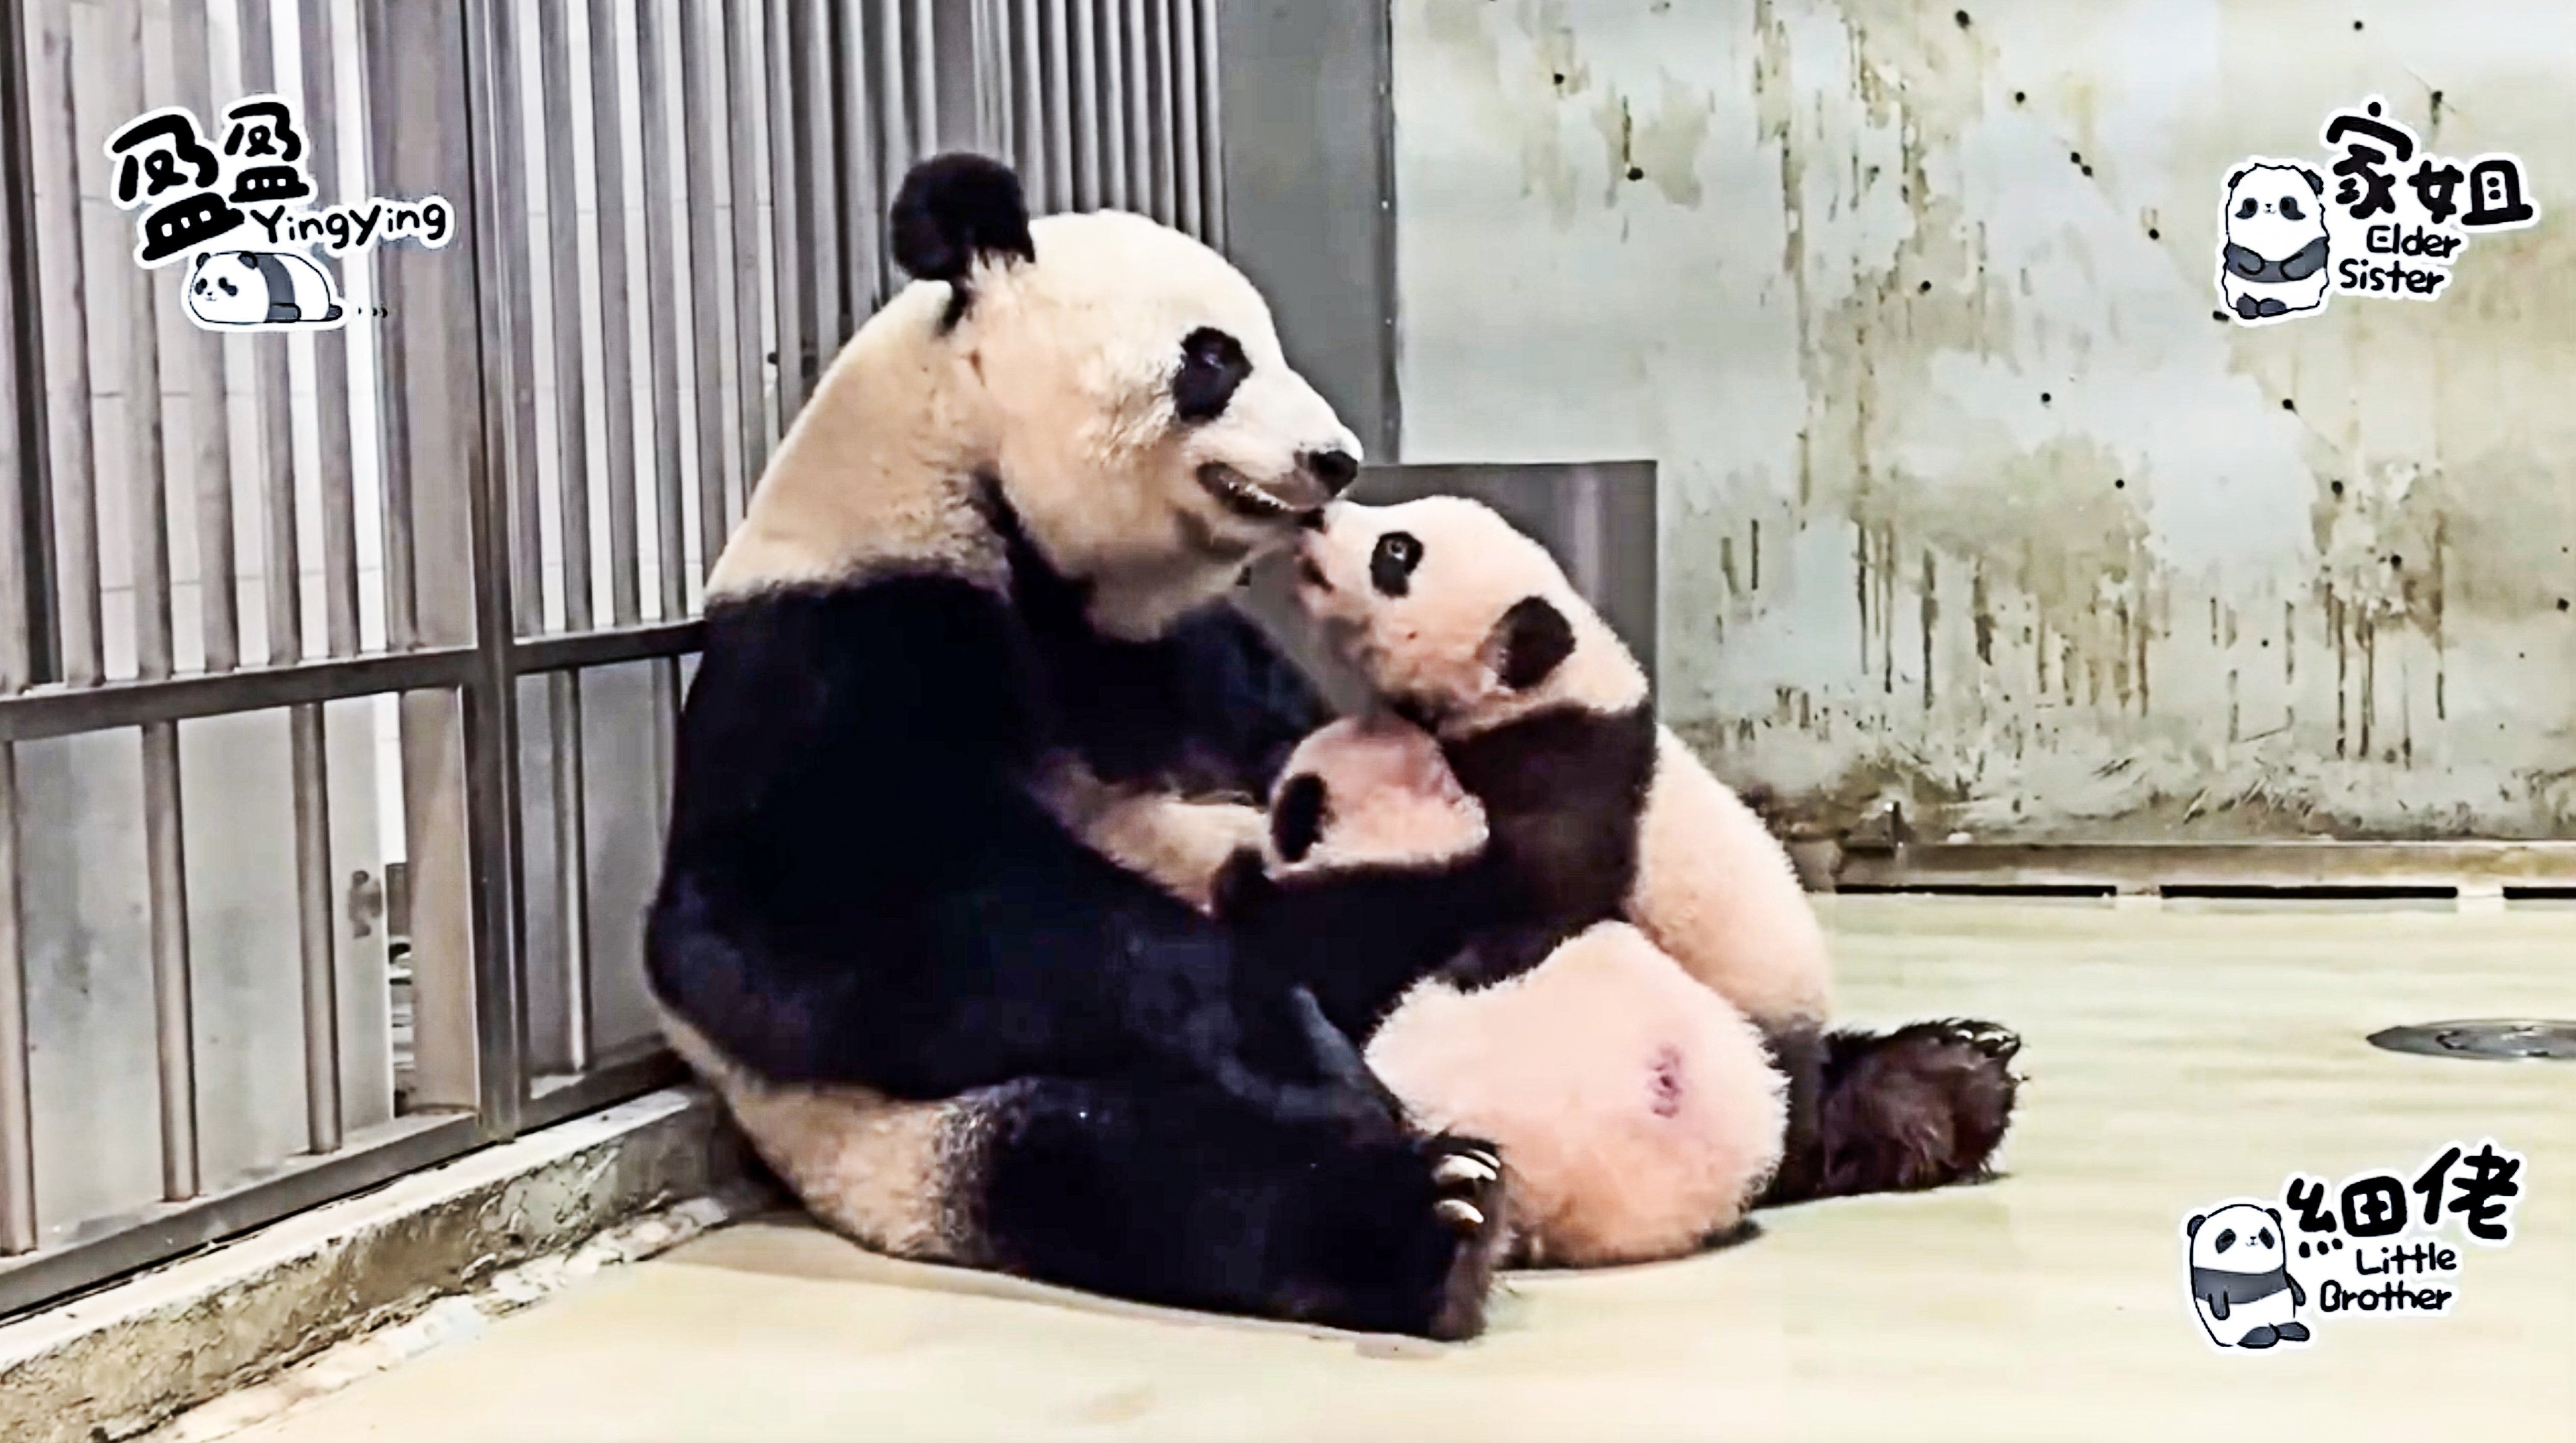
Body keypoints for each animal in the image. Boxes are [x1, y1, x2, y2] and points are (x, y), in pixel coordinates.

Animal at [649, 158, 1504, 1340]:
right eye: (1214, 358)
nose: (1334, 460)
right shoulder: (837, 632)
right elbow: (799, 913)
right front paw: (1286, 1031)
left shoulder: (1177, 652)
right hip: (919, 1136)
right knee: (1130, 1164)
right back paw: (1432, 1209)